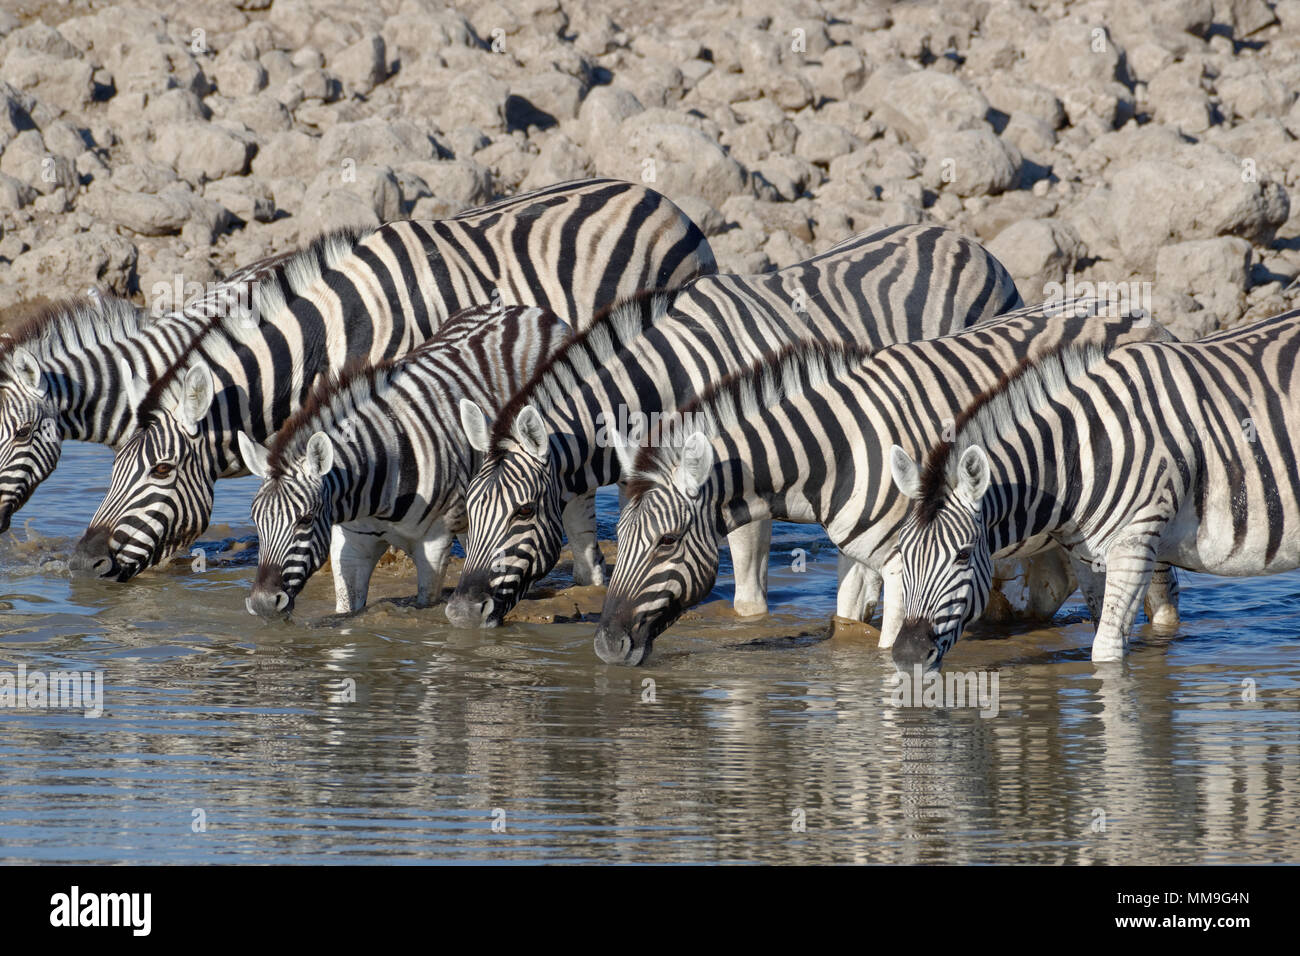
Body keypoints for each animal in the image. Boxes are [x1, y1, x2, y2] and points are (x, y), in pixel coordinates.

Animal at [237, 303, 570, 618]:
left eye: (305, 519)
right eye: (255, 520)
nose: (262, 604)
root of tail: (523, 309)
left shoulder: (434, 542)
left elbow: (426, 602)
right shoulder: (351, 542)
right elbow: (347, 607)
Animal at [445, 223, 1026, 629]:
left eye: (523, 511)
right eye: (468, 510)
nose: (460, 614)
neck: (672, 379)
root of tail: (971, 244)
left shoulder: (748, 478)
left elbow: (748, 598)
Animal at [590, 299, 1176, 665]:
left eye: (667, 542)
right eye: (618, 538)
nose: (605, 647)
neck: (840, 451)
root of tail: (1148, 321)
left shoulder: (903, 563)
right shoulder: (864, 556)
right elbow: (849, 620)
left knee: (1159, 602)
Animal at [886, 307, 1300, 671]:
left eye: (962, 555)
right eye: (902, 554)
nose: (907, 655)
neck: (1077, 455)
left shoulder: (1135, 543)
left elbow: (1106, 653)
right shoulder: (1092, 558)